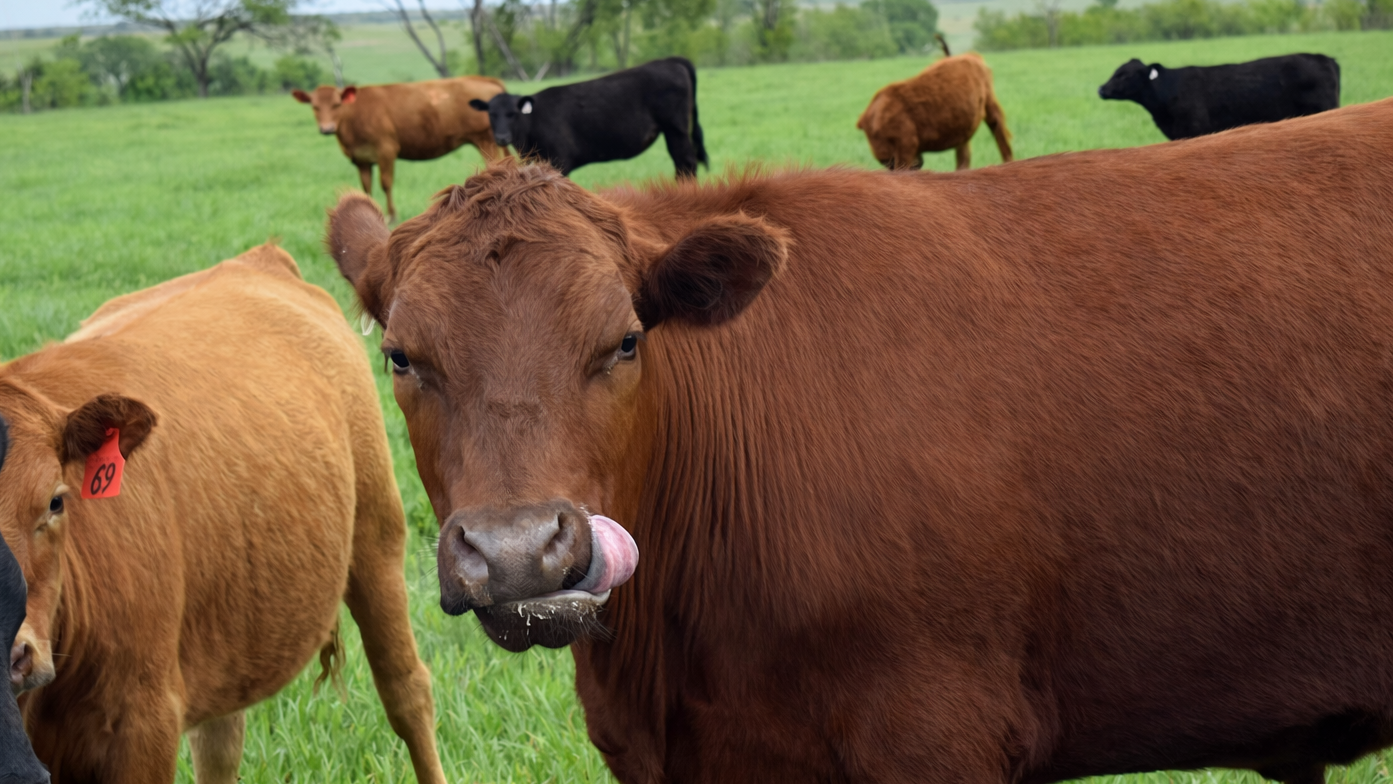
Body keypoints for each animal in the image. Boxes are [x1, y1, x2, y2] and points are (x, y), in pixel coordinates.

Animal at [0, 244, 447, 783]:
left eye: (55, 500)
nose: (13, 653)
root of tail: (258, 258)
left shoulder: (143, 725)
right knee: (220, 740)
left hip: (377, 541)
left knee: (407, 692)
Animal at [293, 76, 507, 221]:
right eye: (314, 107)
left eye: (337, 104)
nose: (327, 129)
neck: (354, 118)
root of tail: (482, 79)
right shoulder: (361, 159)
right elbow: (366, 186)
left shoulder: (386, 151)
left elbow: (386, 183)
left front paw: (392, 215)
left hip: (485, 139)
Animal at [467, 57, 708, 178]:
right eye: (491, 114)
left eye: (513, 114)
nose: (502, 137)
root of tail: (670, 60)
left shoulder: (559, 161)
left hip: (675, 129)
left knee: (686, 163)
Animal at [857, 49, 1013, 170]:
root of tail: (971, 56)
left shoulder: (905, 148)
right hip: (964, 132)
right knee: (964, 157)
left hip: (991, 106)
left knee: (1000, 136)